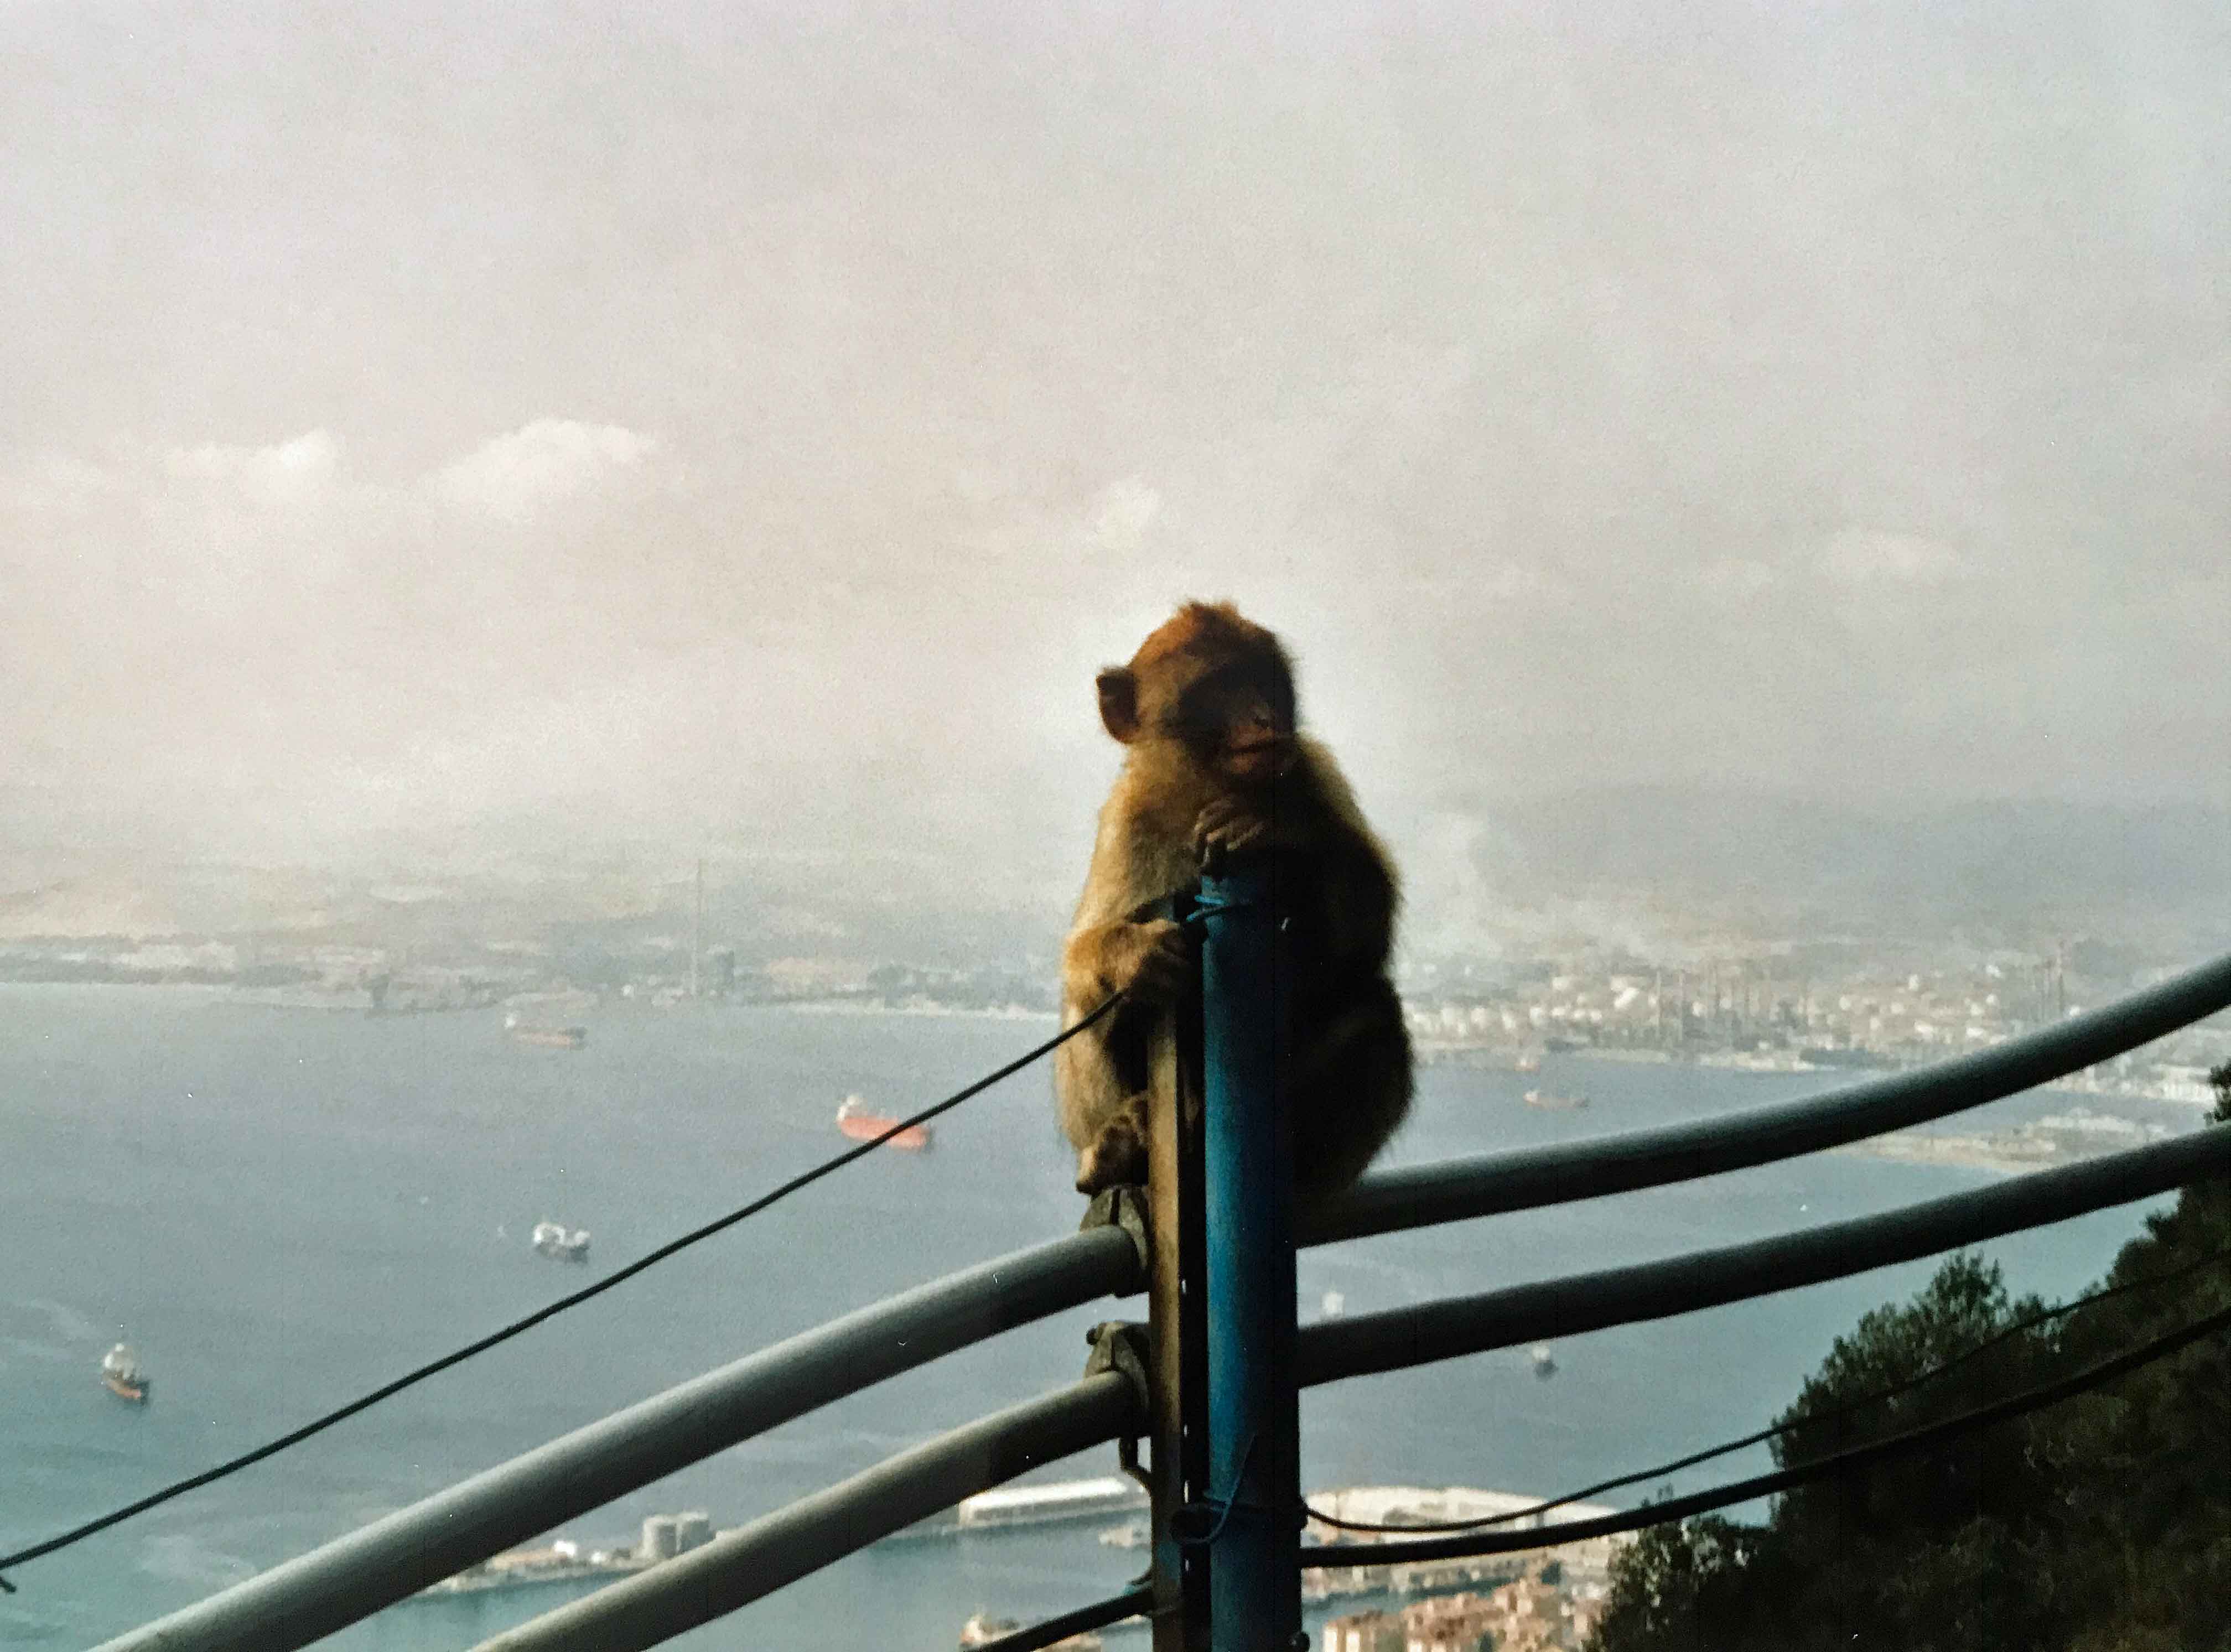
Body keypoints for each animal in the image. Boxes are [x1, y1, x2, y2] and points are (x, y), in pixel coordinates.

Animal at [1054, 601, 1412, 1206]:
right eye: (1219, 687)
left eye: (1263, 679)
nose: (1264, 717)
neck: (1207, 789)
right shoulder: (1129, 824)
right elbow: (1084, 951)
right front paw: (1135, 956)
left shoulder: (1313, 772)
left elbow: (1362, 941)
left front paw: (1278, 827)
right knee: (1090, 1007)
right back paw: (1120, 1144)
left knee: (1376, 1014)